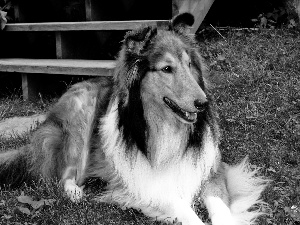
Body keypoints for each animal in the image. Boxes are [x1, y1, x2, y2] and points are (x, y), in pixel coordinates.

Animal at [0, 13, 268, 225]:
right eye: (167, 69)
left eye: (189, 64)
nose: (203, 104)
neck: (166, 124)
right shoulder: (144, 184)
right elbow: (182, 208)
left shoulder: (212, 169)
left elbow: (220, 207)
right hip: (80, 113)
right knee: (64, 175)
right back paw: (76, 192)